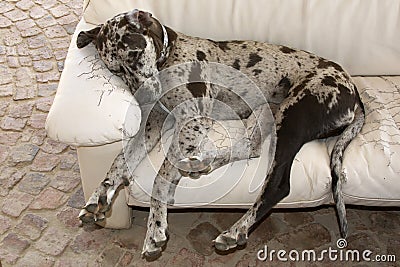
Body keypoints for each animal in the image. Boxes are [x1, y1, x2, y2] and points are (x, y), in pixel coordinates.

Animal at [76, 9, 366, 258]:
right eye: (116, 70)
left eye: (135, 55)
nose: (143, 96)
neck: (170, 56)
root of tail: (355, 95)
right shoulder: (154, 122)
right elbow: (121, 160)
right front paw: (100, 193)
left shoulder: (192, 121)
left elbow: (160, 177)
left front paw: (155, 227)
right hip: (267, 111)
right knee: (250, 148)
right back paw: (201, 164)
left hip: (292, 118)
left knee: (277, 184)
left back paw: (235, 230)